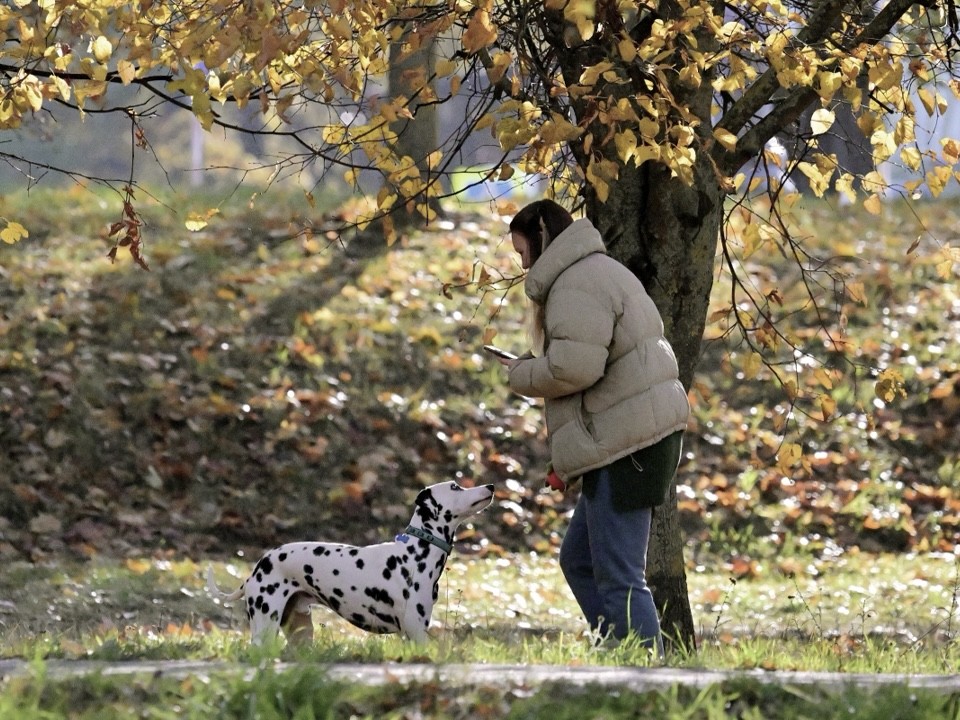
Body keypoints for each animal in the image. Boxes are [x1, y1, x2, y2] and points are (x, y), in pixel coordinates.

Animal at [208, 480, 496, 644]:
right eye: (455, 487)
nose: (491, 487)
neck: (416, 554)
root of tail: (257, 567)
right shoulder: (416, 632)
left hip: (300, 632)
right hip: (265, 625)